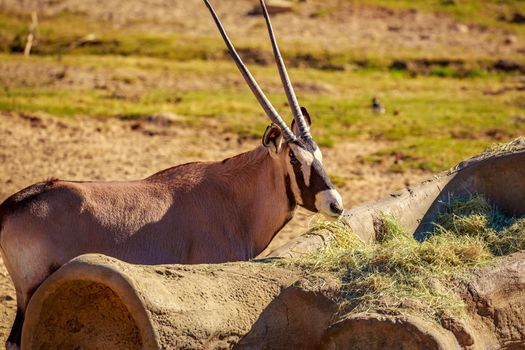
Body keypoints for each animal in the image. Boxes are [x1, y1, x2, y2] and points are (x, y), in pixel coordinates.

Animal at [0, 0, 344, 348]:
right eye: (295, 160)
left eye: (319, 155)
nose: (335, 205)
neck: (234, 197)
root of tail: (12, 206)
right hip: (29, 293)